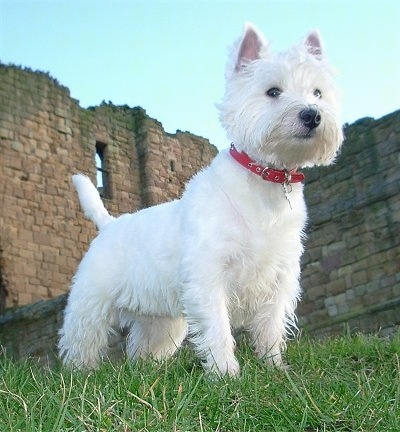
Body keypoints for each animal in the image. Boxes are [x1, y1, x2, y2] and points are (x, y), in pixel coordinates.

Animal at [59, 23, 344, 376]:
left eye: (317, 93)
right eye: (273, 91)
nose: (312, 115)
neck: (265, 186)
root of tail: (110, 224)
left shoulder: (278, 278)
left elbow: (270, 328)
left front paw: (276, 369)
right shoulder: (209, 275)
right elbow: (218, 329)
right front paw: (227, 374)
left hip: (160, 318)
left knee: (141, 348)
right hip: (92, 303)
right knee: (81, 341)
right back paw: (79, 374)